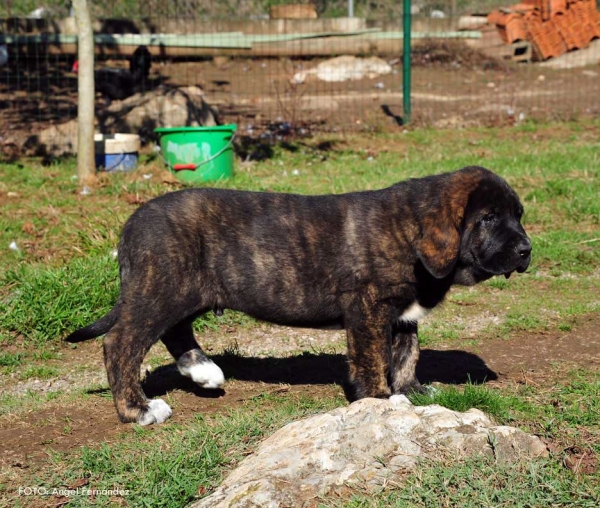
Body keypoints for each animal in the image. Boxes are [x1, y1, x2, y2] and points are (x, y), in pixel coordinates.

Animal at [65, 167, 532, 424]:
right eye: (489, 218)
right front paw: (382, 400)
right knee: (121, 343)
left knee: (175, 331)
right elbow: (373, 358)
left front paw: (413, 391)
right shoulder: (367, 308)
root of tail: (130, 224)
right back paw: (138, 410)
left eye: (519, 216)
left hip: (181, 291)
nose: (527, 250)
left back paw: (203, 371)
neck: (410, 229)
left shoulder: (402, 314)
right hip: (161, 288)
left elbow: (406, 355)